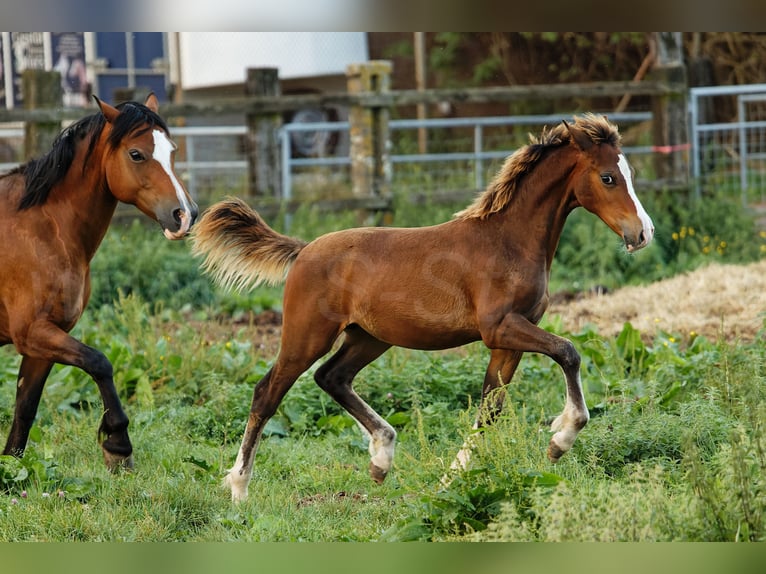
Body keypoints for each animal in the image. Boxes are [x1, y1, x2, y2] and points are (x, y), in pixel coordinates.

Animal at [0, 93, 198, 472]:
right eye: (136, 154)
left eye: (172, 150)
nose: (185, 215)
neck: (42, 227)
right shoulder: (33, 333)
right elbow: (100, 362)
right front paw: (118, 444)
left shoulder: (43, 341)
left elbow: (24, 412)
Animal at [192, 111, 656, 500]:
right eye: (608, 177)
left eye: (629, 174)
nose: (644, 233)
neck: (508, 241)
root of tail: (304, 250)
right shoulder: (500, 327)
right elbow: (568, 351)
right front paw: (560, 440)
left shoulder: (508, 338)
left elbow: (490, 408)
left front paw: (455, 478)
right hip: (307, 335)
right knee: (267, 392)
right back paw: (239, 488)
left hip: (369, 338)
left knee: (332, 377)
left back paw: (381, 458)